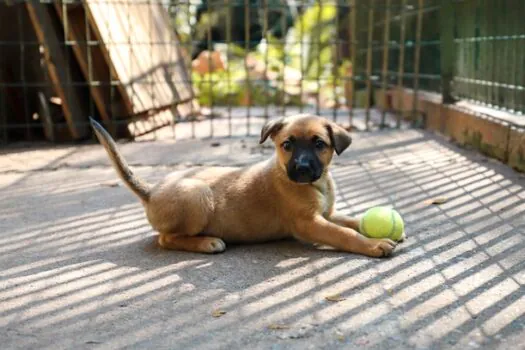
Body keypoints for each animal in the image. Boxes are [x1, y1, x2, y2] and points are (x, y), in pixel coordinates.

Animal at [91, 114, 398, 258]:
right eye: (287, 145)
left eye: (319, 144)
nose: (301, 169)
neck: (316, 184)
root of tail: (151, 191)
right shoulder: (309, 223)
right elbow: (345, 234)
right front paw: (374, 244)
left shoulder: (327, 215)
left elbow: (352, 221)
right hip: (197, 194)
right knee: (165, 239)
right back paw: (206, 242)